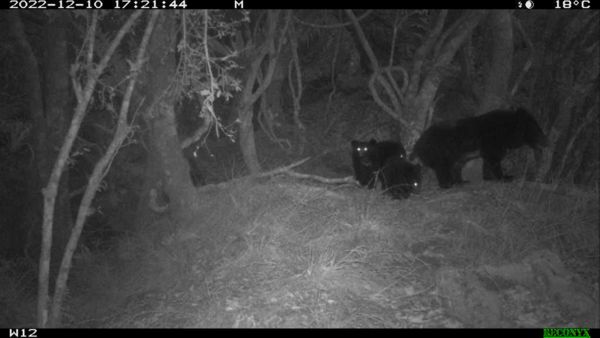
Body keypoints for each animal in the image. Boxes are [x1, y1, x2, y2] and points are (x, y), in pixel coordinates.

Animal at [412, 107, 548, 189]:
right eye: (537, 130)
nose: (546, 141)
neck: (507, 131)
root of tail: (418, 144)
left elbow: (489, 160)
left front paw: (489, 177)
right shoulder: (492, 140)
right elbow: (494, 159)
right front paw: (505, 177)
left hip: (456, 154)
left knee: (455, 166)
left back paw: (461, 181)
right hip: (441, 149)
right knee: (443, 166)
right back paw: (447, 183)